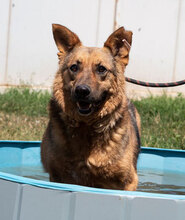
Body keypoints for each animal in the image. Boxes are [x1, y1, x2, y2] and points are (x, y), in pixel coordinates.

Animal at [41, 23, 141, 190]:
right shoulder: (57, 176)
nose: (81, 91)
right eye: (74, 67)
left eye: (101, 69)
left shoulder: (129, 181)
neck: (86, 126)